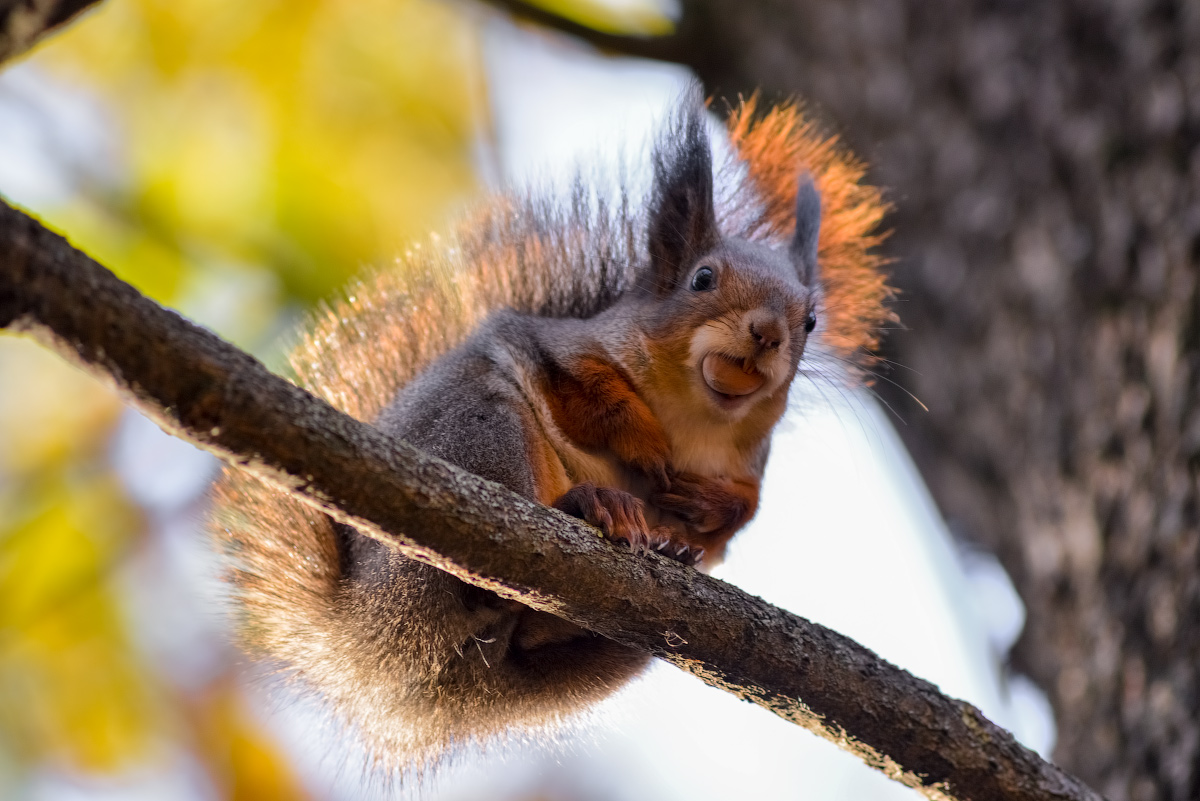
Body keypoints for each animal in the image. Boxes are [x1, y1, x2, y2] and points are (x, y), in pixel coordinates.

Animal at [211, 94, 897, 777]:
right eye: (702, 279)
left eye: (811, 319)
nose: (767, 333)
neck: (696, 416)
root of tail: (371, 646)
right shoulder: (561, 348)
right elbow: (589, 395)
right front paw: (646, 445)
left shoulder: (751, 462)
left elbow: (742, 512)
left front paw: (704, 505)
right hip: (475, 437)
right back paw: (590, 505)